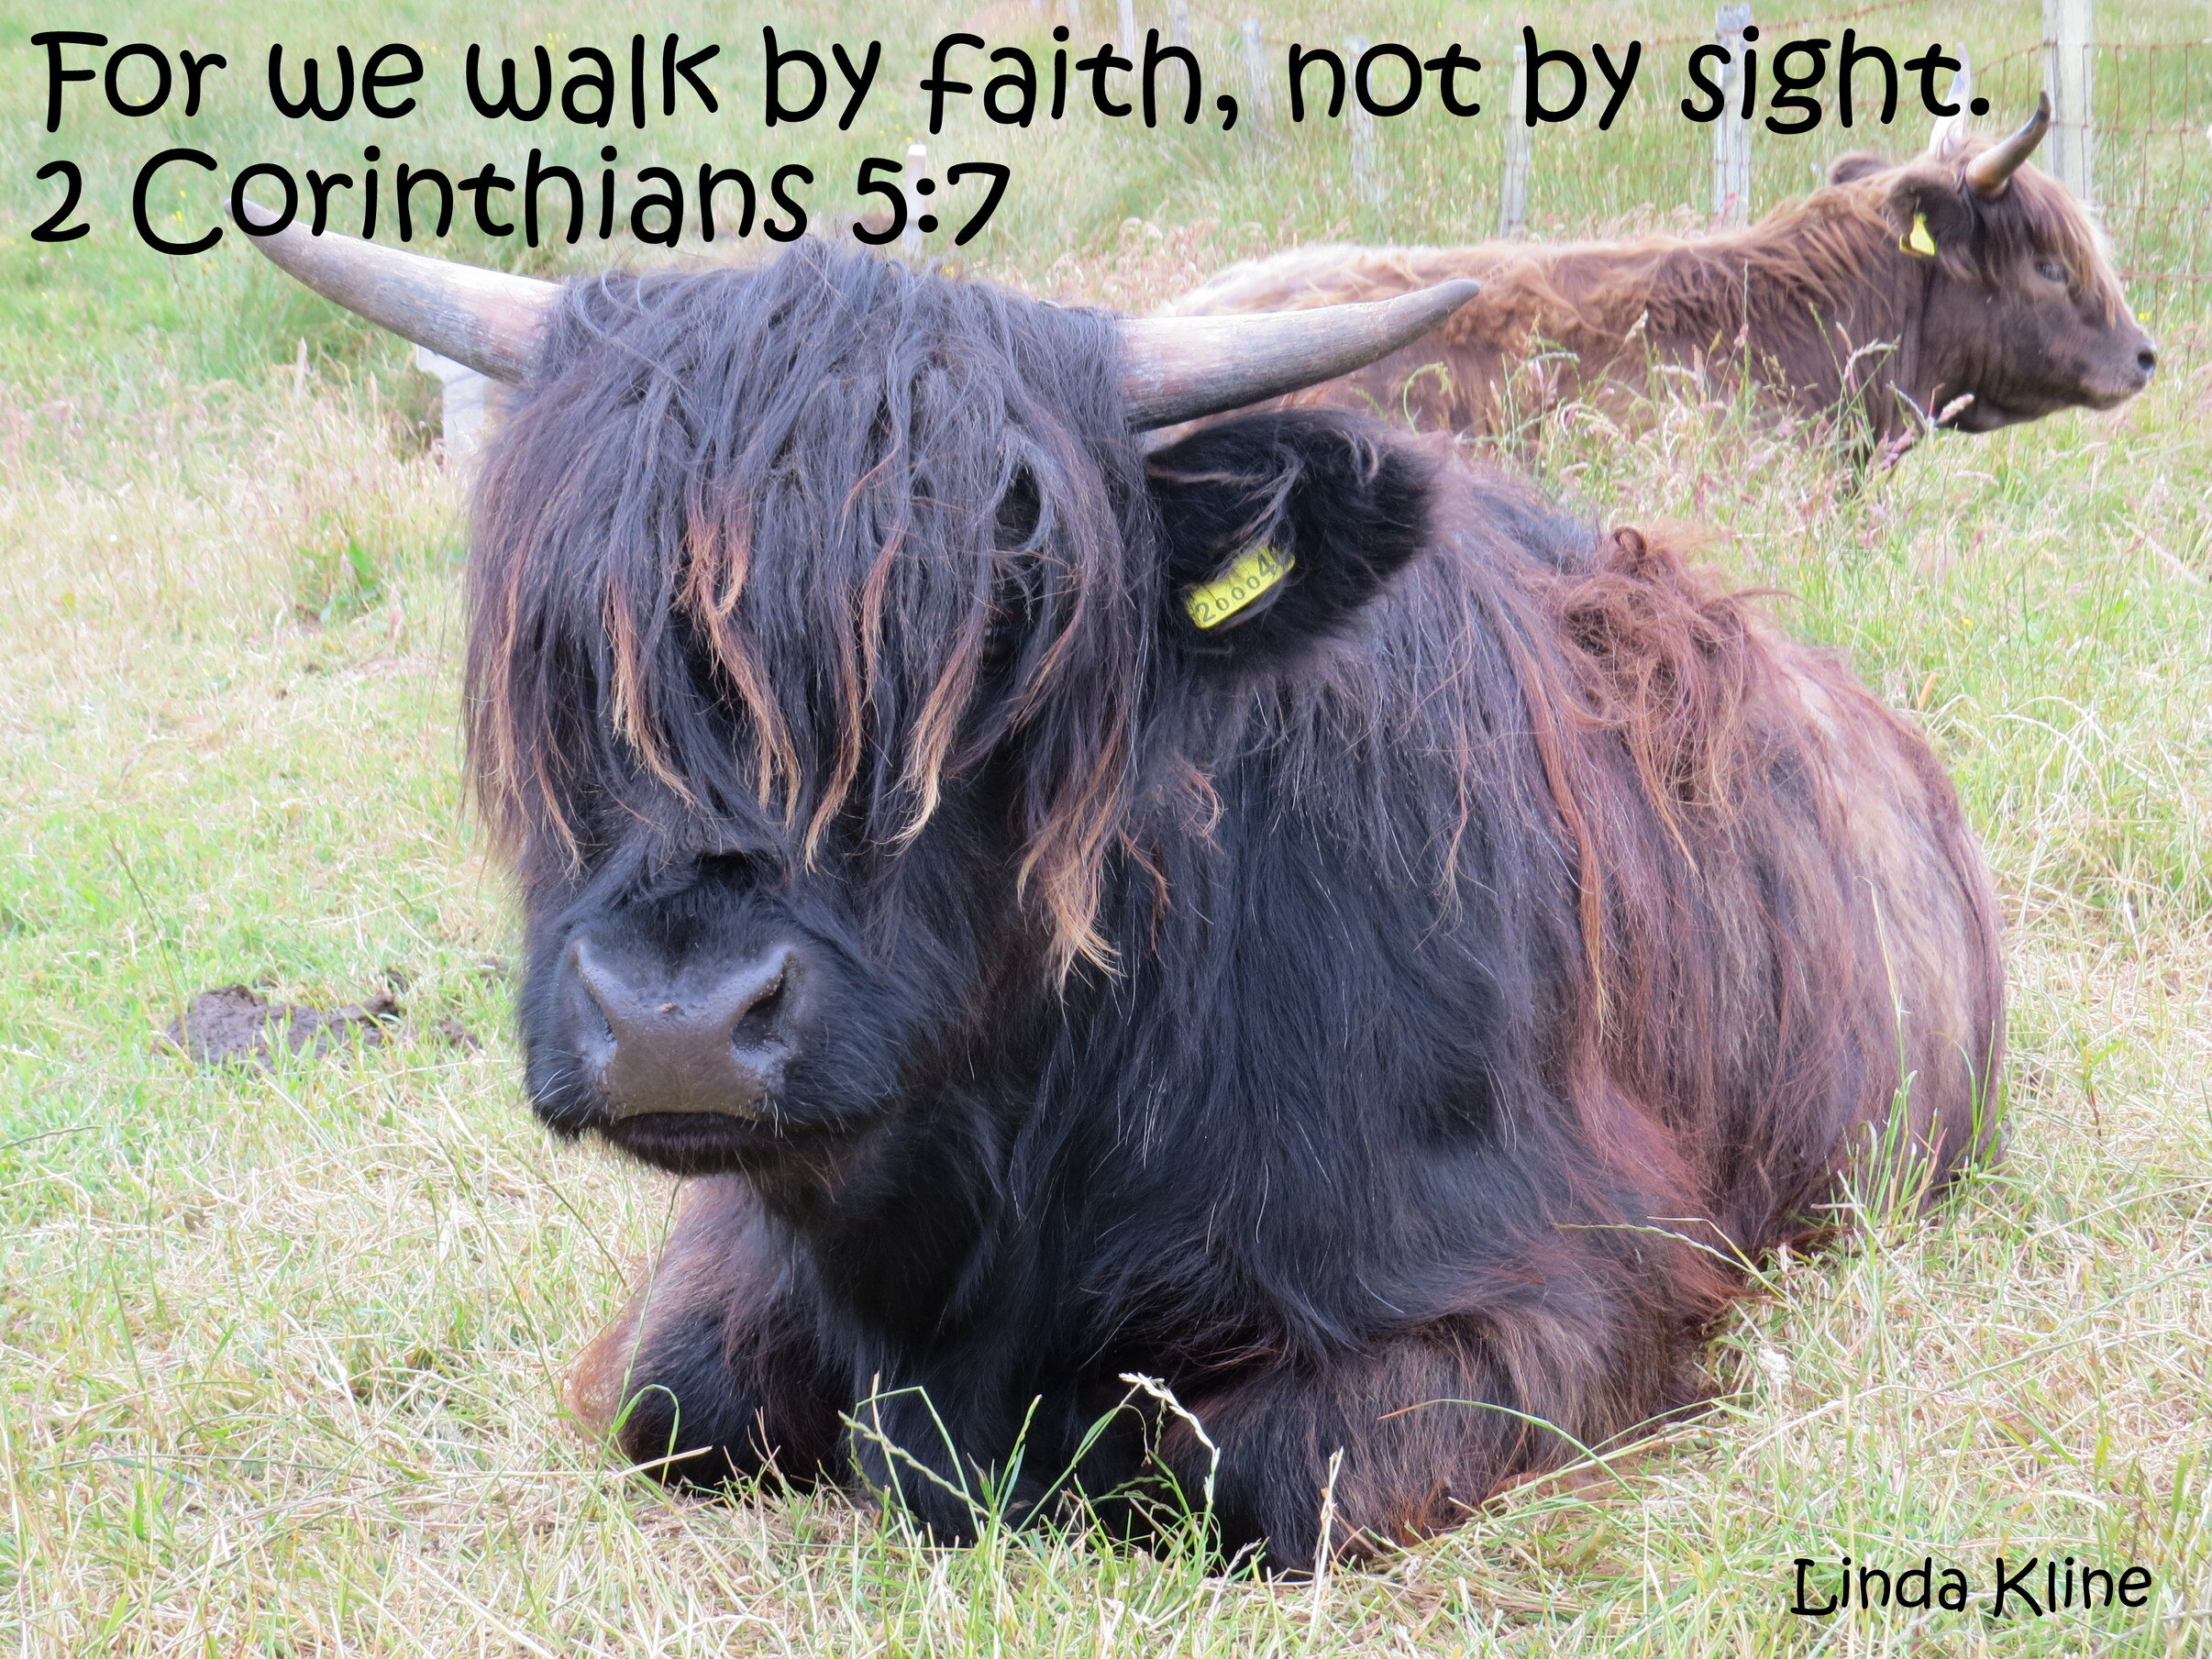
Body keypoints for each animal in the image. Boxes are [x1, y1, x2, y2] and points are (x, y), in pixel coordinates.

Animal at [246, 231, 2008, 1575]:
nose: (677, 1019)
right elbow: (671, 1397)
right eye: (557, 633)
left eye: (1008, 624)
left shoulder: (1579, 1279)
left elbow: (1232, 1467)